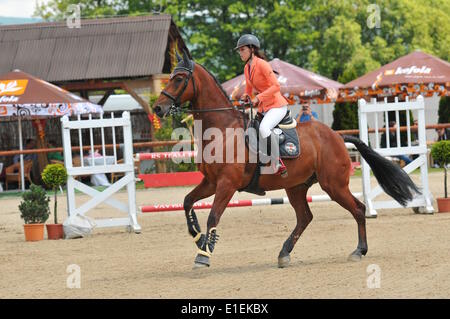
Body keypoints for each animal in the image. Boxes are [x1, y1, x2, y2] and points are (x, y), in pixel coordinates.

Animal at [153, 50, 420, 270]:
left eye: (178, 79)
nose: (157, 108)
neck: (222, 130)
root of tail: (337, 136)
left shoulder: (227, 184)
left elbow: (213, 216)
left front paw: (204, 254)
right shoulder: (210, 182)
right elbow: (187, 201)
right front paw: (198, 237)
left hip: (333, 185)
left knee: (358, 209)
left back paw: (358, 251)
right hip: (297, 187)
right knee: (305, 217)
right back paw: (284, 254)